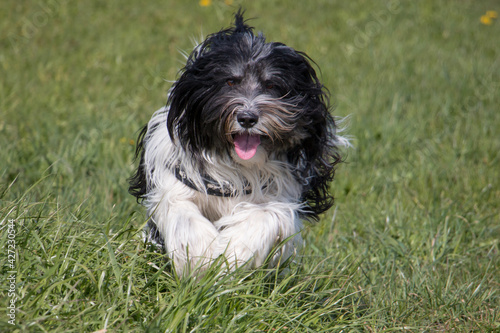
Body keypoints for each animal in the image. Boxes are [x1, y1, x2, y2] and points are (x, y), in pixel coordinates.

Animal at [130, 11, 348, 274]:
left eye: (271, 85)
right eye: (231, 82)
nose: (247, 118)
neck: (239, 167)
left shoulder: (281, 197)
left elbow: (263, 217)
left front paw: (232, 255)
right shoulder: (174, 183)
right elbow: (182, 213)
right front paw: (200, 258)